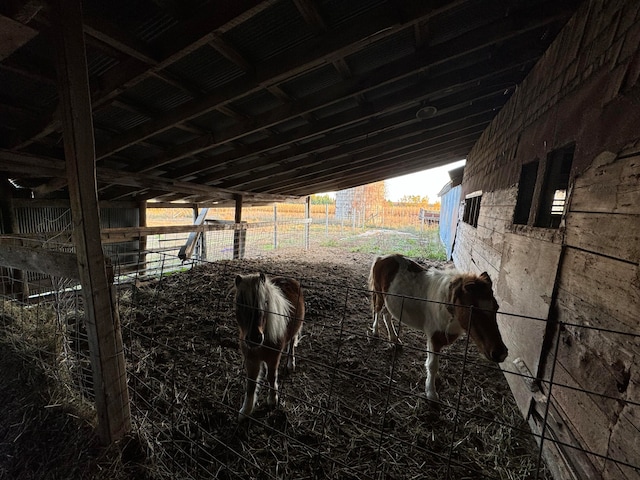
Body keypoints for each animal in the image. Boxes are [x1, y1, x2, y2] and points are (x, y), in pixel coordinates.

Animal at [232, 272, 304, 422]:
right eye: (240, 303)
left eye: (265, 302)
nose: (254, 338)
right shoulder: (251, 360)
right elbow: (251, 384)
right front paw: (245, 411)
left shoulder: (273, 358)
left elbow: (272, 377)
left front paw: (272, 400)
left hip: (294, 333)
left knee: (291, 347)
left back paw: (290, 364)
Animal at [368, 255, 508, 402]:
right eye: (473, 310)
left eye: (496, 307)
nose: (500, 353)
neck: (445, 305)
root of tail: (382, 258)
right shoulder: (434, 338)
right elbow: (432, 365)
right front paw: (431, 393)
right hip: (379, 294)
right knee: (377, 311)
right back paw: (375, 332)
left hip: (391, 303)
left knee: (386, 315)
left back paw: (395, 340)